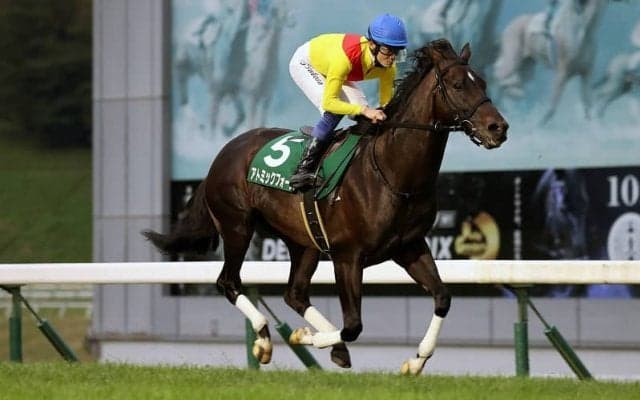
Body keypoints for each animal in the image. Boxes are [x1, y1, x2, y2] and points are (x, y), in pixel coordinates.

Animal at [143, 39, 508, 375]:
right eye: (458, 85)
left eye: (483, 82)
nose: (498, 128)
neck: (393, 173)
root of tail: (225, 152)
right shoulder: (348, 257)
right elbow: (353, 325)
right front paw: (305, 338)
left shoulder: (410, 246)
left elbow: (443, 297)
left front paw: (415, 362)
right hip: (237, 226)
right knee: (228, 282)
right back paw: (264, 339)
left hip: (303, 242)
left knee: (294, 293)